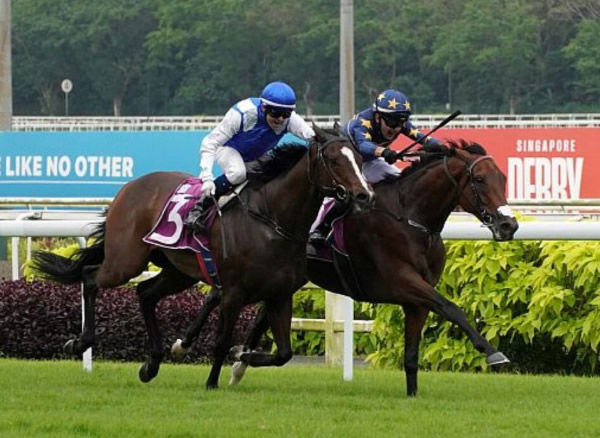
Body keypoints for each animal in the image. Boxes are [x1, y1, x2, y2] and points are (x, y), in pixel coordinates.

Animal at [32, 125, 372, 388]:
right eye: (333, 159)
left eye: (358, 158)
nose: (363, 194)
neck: (273, 221)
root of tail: (129, 187)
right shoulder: (234, 292)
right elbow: (220, 342)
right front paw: (211, 382)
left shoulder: (279, 294)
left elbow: (283, 353)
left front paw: (242, 356)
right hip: (126, 261)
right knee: (90, 278)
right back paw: (81, 342)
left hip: (178, 271)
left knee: (145, 293)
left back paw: (151, 364)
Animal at [175, 140, 520, 396]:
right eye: (479, 180)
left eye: (504, 178)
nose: (509, 225)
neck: (411, 219)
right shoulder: (403, 281)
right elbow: (451, 308)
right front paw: (493, 352)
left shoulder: (416, 300)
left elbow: (411, 355)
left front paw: (412, 395)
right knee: (218, 295)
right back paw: (188, 343)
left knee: (252, 312)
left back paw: (237, 361)